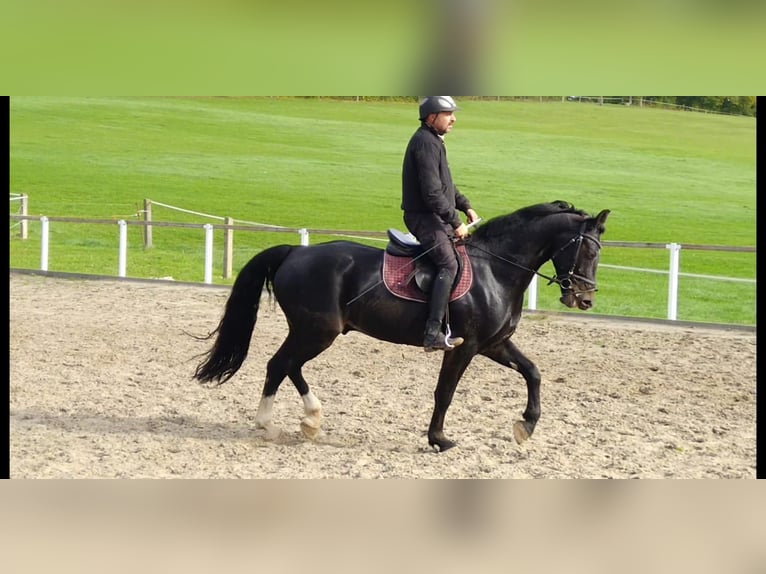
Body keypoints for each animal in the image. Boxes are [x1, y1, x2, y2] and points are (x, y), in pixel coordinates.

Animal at [196, 200, 612, 452]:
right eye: (589, 250)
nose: (585, 300)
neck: (496, 269)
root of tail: (296, 251)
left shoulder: (493, 344)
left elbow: (533, 372)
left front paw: (526, 425)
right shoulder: (464, 346)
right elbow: (444, 393)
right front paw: (439, 439)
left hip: (314, 332)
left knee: (288, 366)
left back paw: (308, 421)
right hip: (316, 332)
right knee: (280, 364)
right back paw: (273, 423)